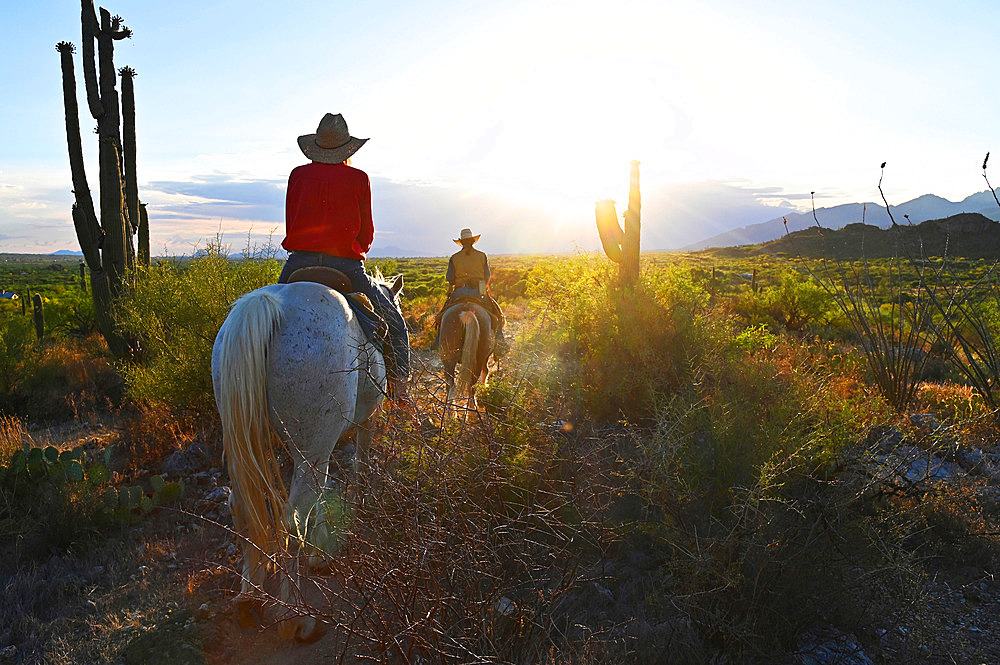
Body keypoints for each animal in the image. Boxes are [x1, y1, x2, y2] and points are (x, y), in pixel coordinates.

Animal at [211, 274, 402, 640]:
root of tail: (267, 305)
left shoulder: (315, 447)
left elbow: (323, 493)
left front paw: (320, 551)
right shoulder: (363, 423)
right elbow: (358, 467)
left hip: (255, 440)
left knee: (241, 506)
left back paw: (248, 596)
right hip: (313, 446)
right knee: (293, 517)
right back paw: (296, 616)